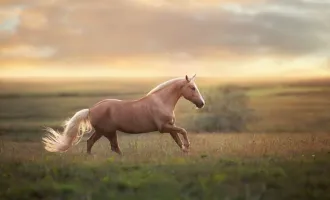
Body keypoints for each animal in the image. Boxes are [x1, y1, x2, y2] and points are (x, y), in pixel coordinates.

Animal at [42, 74, 205, 155]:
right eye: (192, 88)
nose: (201, 103)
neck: (161, 101)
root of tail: (91, 109)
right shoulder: (163, 127)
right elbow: (183, 131)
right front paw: (187, 147)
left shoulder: (170, 126)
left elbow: (177, 139)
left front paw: (185, 151)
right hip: (107, 132)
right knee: (111, 146)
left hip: (103, 132)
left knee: (94, 143)